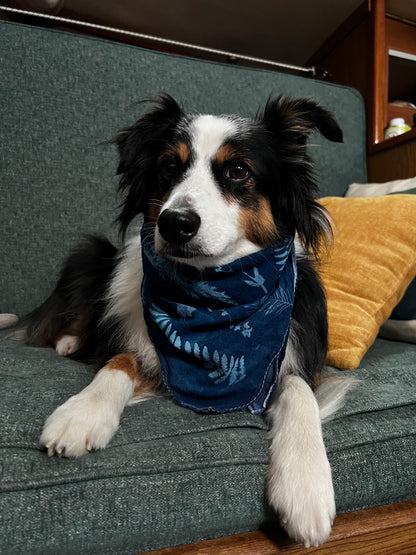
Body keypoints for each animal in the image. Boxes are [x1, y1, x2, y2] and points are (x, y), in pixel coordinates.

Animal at [25, 94, 348, 548]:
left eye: (238, 171)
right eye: (168, 166)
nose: (174, 223)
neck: (211, 296)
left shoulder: (291, 355)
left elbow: (299, 389)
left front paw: (305, 486)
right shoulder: (137, 338)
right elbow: (119, 360)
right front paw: (81, 414)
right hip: (92, 254)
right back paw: (70, 341)